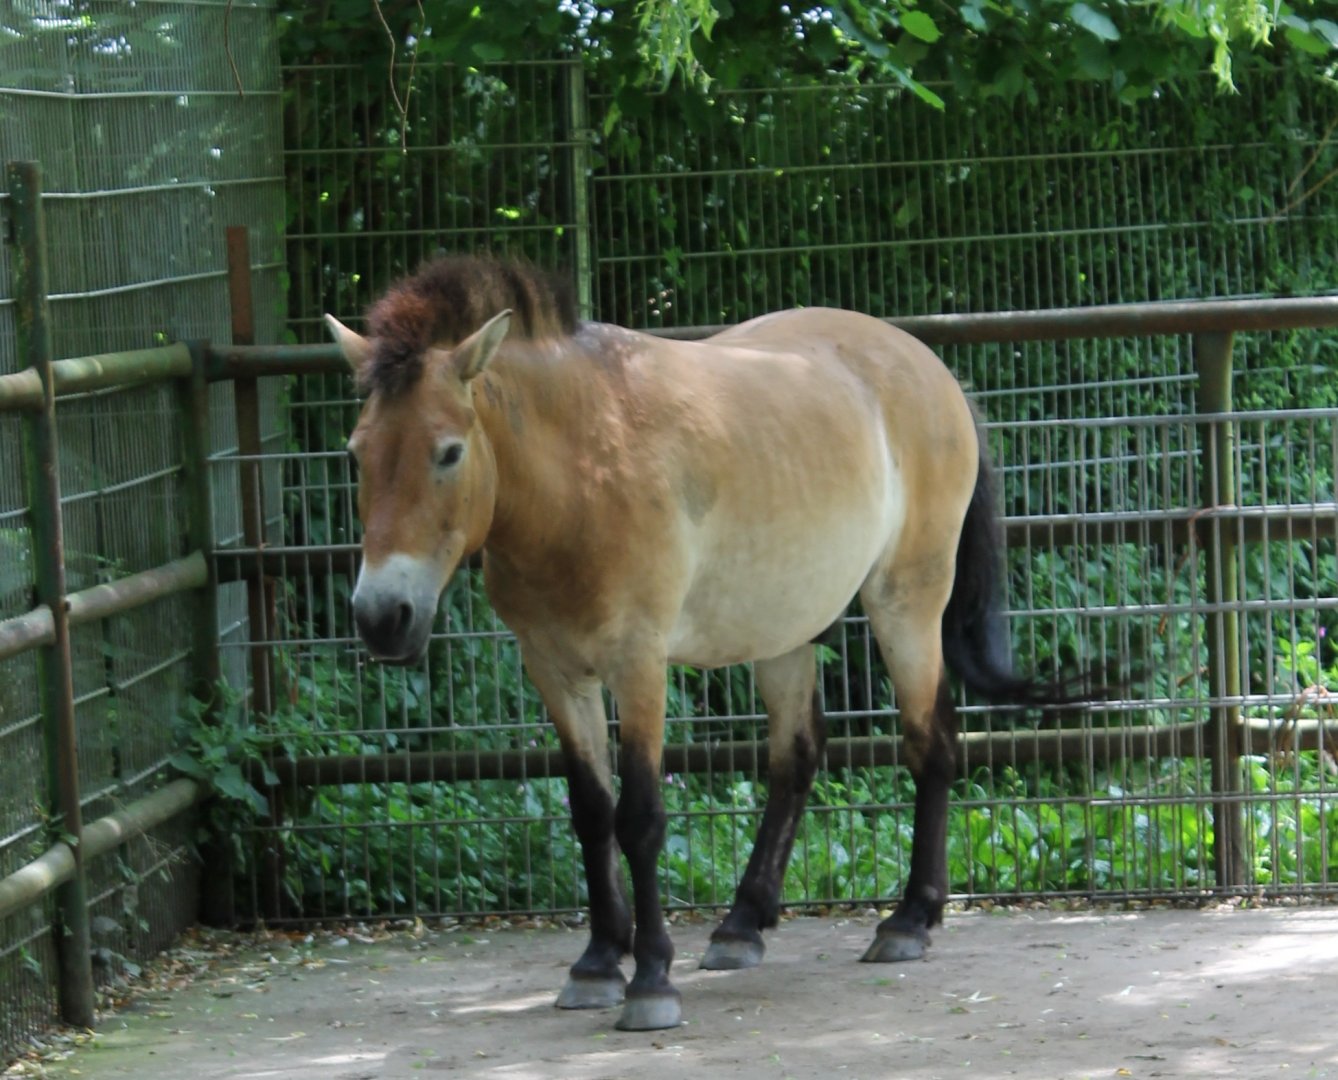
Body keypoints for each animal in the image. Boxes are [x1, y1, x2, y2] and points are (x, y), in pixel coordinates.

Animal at [325, 255, 1091, 1032]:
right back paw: (742, 926)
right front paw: (597, 963)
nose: (381, 616)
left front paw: (650, 980)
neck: (579, 473)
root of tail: (930, 368)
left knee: (928, 739)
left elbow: (639, 817)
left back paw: (908, 920)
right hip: (784, 625)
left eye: (448, 452)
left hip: (906, 601)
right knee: (796, 759)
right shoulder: (555, 670)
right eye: (356, 452)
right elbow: (590, 813)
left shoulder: (638, 664)